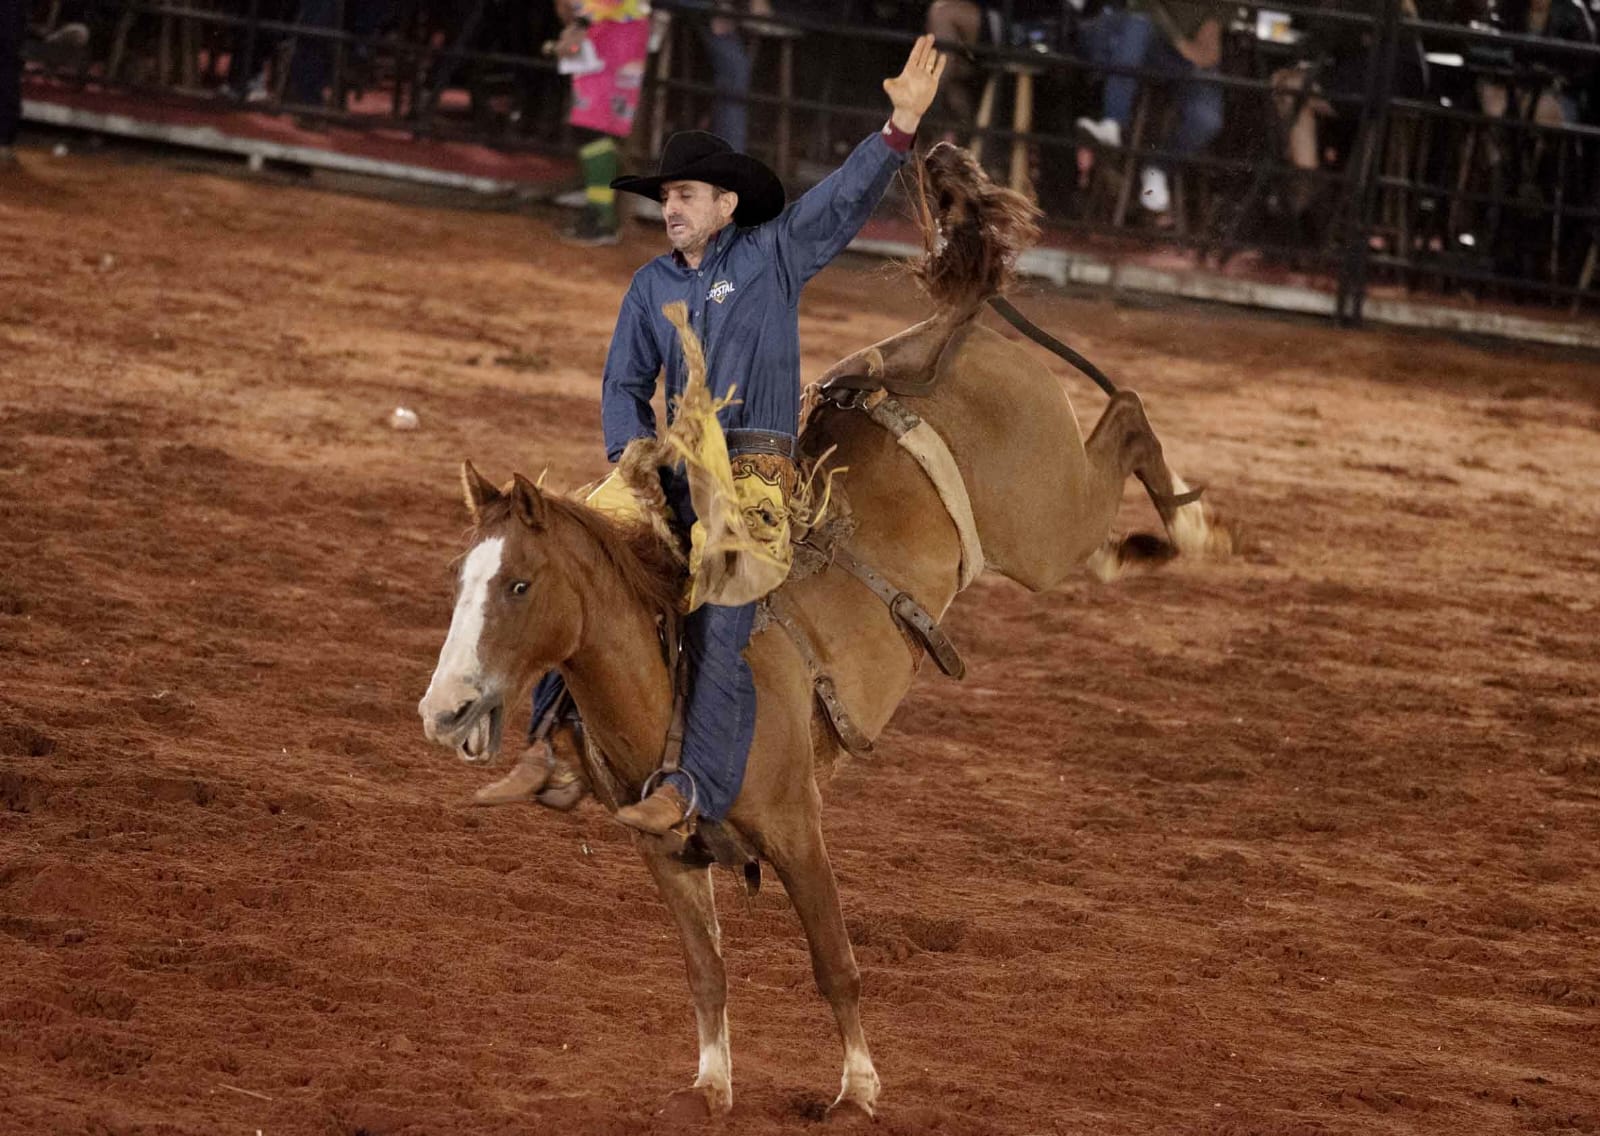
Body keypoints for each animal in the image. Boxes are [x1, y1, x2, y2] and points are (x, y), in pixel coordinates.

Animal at [412, 142, 1222, 1120]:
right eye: (461, 579)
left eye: (521, 583)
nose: (443, 709)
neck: (666, 682)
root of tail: (936, 338)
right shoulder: (666, 852)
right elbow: (707, 971)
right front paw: (710, 1086)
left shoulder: (801, 829)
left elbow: (835, 964)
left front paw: (858, 1090)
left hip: (1045, 524)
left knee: (1130, 413)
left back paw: (1189, 530)